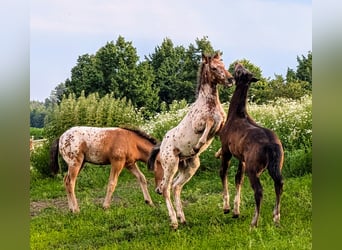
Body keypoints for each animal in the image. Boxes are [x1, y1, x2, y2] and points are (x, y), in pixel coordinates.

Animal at [148, 52, 234, 229]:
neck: (210, 103)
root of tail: (161, 146)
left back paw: (182, 218)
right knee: (165, 189)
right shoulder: (199, 125)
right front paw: (198, 145)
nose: (230, 79)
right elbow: (209, 123)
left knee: (176, 187)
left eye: (223, 65)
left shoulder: (221, 125)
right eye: (214, 68)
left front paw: (218, 153)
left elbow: (220, 130)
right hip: (171, 165)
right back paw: (174, 222)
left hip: (189, 166)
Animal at [218, 63, 284, 228]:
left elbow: (223, 172)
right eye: (244, 70)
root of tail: (272, 146)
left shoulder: (226, 150)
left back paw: (254, 222)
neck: (236, 115)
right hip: (276, 166)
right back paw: (276, 217)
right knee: (279, 184)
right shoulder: (242, 158)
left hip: (253, 169)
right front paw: (236, 211)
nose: (238, 64)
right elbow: (238, 178)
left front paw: (227, 208)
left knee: (259, 190)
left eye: (240, 71)